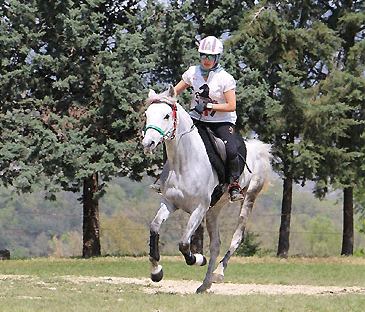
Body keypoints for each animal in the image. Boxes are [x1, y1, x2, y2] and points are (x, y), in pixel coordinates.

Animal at [141, 84, 272, 292]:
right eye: (146, 114)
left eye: (167, 116)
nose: (148, 144)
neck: (183, 163)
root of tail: (258, 150)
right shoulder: (169, 203)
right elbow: (154, 228)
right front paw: (156, 272)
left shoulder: (199, 209)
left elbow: (184, 243)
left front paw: (197, 259)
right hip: (214, 210)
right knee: (215, 244)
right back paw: (205, 284)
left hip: (248, 198)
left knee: (237, 237)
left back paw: (218, 274)